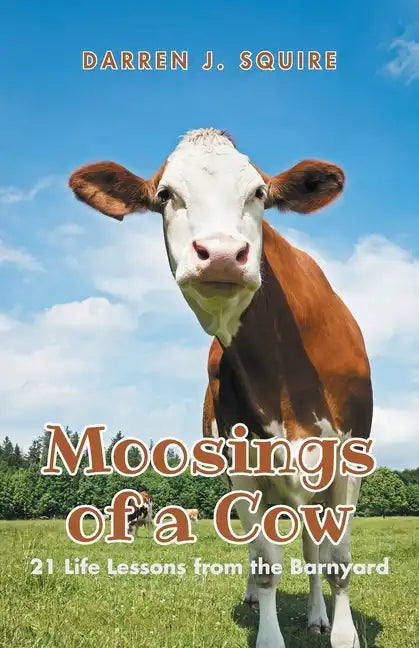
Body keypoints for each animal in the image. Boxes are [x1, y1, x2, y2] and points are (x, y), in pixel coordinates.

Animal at [69, 128, 372, 648]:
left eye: (259, 194)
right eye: (165, 195)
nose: (223, 255)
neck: (286, 376)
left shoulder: (348, 457)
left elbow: (337, 559)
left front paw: (341, 632)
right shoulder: (245, 466)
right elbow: (267, 562)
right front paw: (268, 630)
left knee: (313, 550)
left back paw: (317, 614)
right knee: (260, 548)